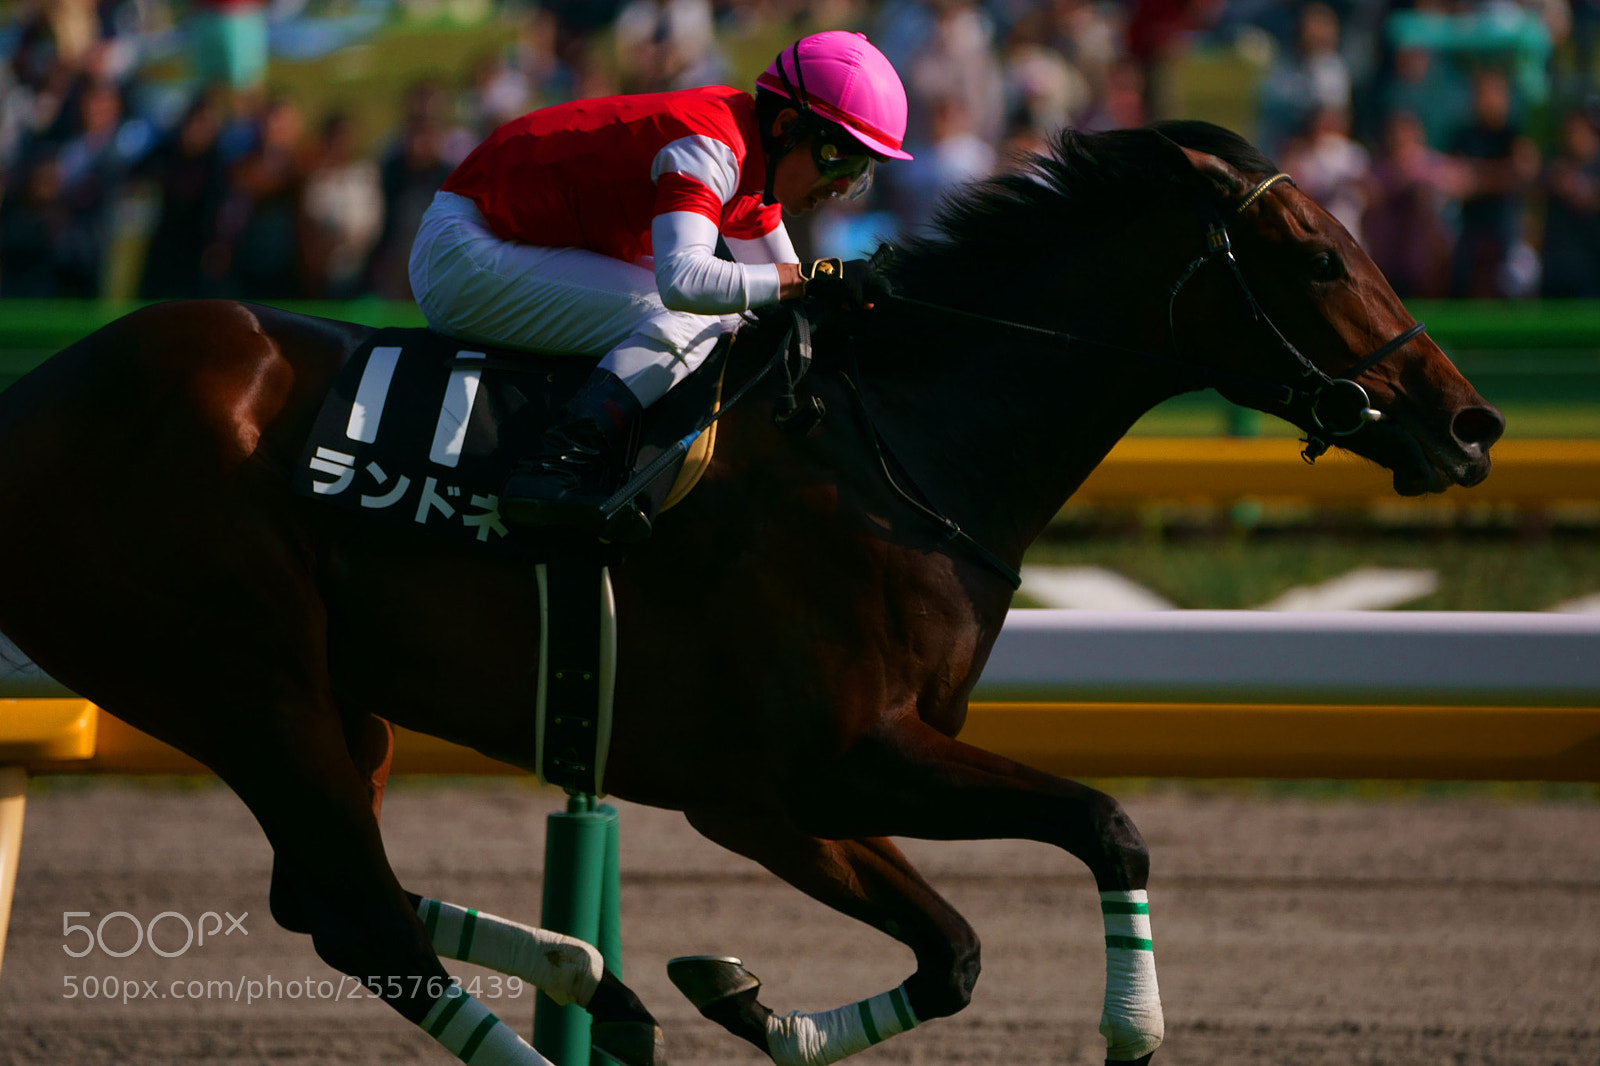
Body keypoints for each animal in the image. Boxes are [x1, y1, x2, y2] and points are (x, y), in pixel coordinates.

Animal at [0, 121, 1501, 1066]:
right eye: (1319, 257)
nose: (1470, 424)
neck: (898, 443)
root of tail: (38, 394)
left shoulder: (770, 797)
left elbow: (955, 952)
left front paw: (745, 999)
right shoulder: (841, 757)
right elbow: (1106, 824)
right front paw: (1133, 1025)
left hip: (316, 703)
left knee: (324, 896)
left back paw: (588, 973)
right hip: (242, 683)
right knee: (359, 912)